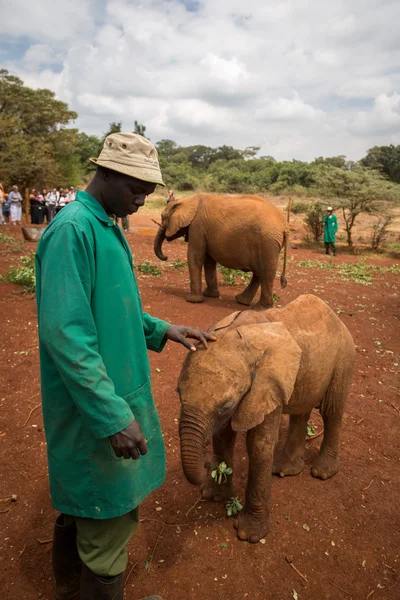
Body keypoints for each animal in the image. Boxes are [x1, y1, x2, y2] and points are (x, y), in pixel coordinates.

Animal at [155, 195, 290, 310]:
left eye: (162, 217)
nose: (165, 257)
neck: (187, 200)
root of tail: (284, 225)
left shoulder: (197, 227)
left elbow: (195, 257)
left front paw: (192, 300)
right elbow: (208, 261)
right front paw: (210, 295)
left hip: (268, 242)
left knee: (265, 273)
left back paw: (259, 309)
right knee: (259, 273)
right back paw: (242, 301)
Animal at [178, 296, 356, 544]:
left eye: (226, 406)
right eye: (178, 394)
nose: (206, 463)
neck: (236, 335)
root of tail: (336, 316)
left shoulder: (267, 383)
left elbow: (259, 446)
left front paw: (248, 534)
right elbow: (223, 437)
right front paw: (213, 496)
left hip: (344, 358)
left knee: (332, 411)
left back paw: (321, 473)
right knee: (301, 410)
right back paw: (284, 470)